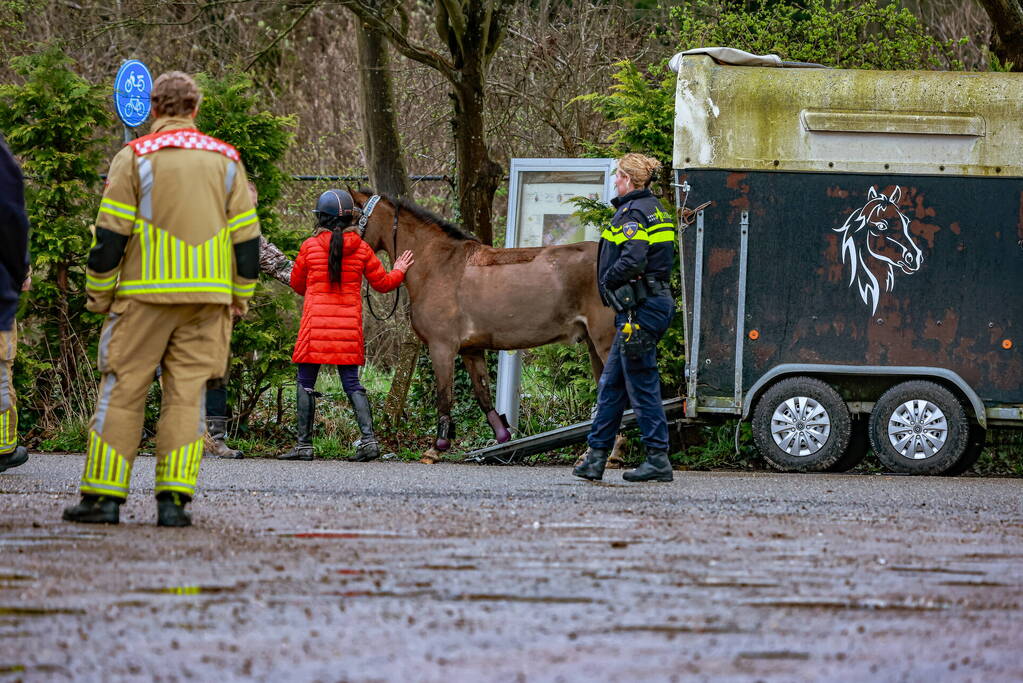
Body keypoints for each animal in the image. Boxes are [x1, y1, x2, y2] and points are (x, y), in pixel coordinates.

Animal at [350, 189, 617, 463]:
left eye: (351, 216)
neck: (437, 264)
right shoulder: (472, 350)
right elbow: (483, 396)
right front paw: (501, 436)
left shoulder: (442, 347)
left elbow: (444, 397)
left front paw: (437, 447)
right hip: (593, 344)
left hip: (606, 340)